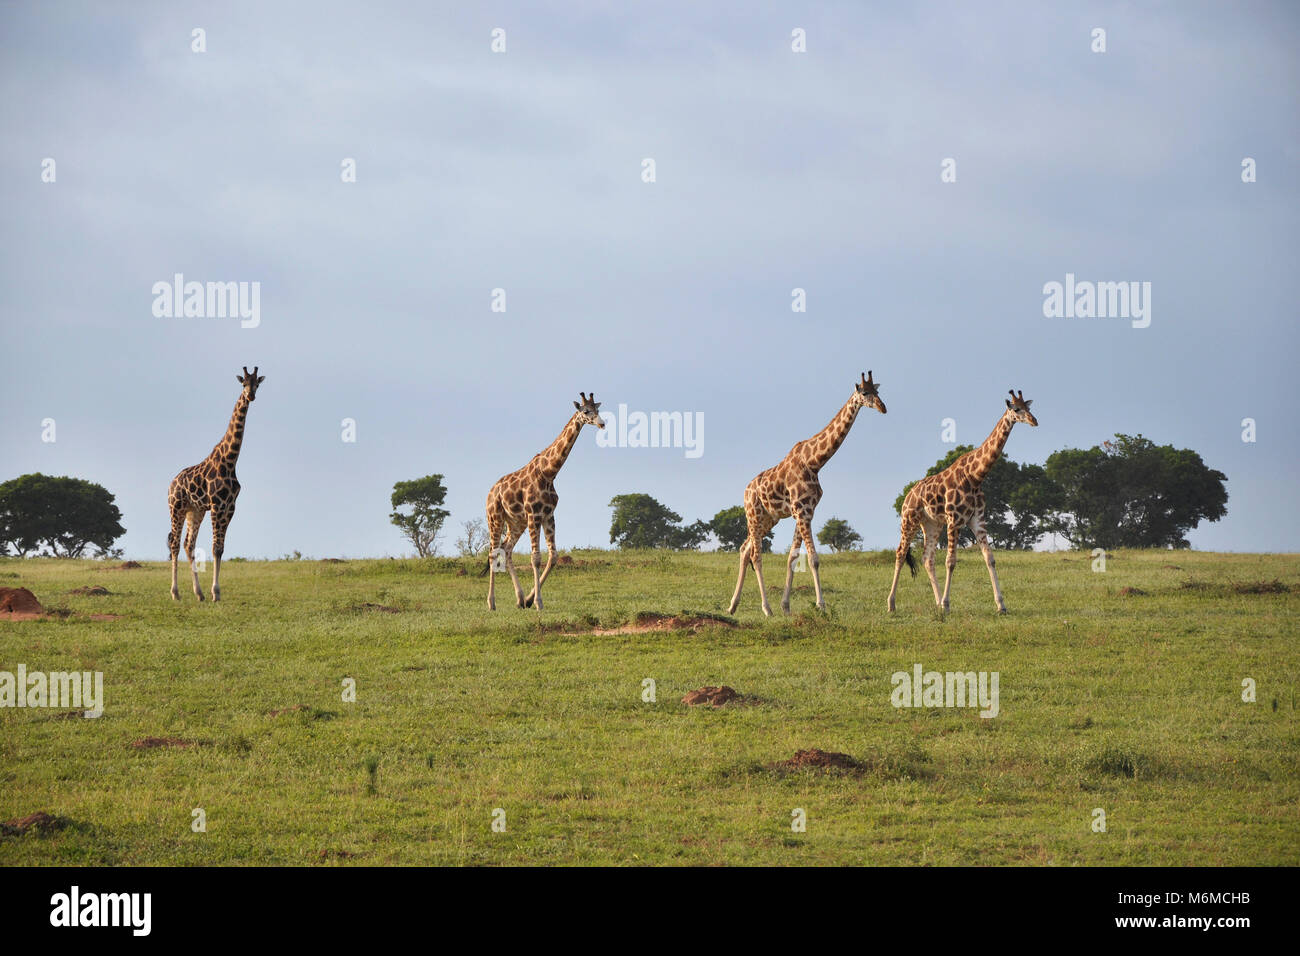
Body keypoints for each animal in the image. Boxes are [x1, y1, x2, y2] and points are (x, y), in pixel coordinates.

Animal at [167, 367, 264, 602]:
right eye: (243, 384)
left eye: (257, 384)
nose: (250, 396)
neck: (230, 460)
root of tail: (171, 483)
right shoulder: (217, 505)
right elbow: (215, 548)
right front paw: (216, 593)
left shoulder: (229, 507)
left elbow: (220, 548)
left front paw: (212, 592)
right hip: (176, 508)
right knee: (175, 544)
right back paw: (175, 593)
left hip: (195, 510)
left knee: (188, 544)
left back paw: (198, 593)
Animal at [484, 392, 605, 611]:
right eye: (585, 411)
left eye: (598, 409)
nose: (602, 423)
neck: (549, 473)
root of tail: (490, 492)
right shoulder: (534, 514)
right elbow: (536, 558)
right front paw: (538, 602)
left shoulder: (548, 515)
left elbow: (553, 556)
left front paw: (530, 598)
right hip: (495, 518)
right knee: (492, 554)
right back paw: (491, 603)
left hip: (516, 522)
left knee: (507, 549)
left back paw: (519, 598)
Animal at [727, 372, 886, 617]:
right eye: (865, 393)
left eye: (878, 392)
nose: (882, 407)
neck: (815, 462)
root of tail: (745, 491)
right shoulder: (802, 511)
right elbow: (813, 559)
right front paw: (821, 605)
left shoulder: (806, 511)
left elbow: (793, 557)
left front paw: (786, 606)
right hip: (753, 515)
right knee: (755, 554)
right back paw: (766, 608)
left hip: (769, 518)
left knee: (744, 549)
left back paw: (733, 605)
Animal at [888, 389, 1038, 615]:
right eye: (1017, 409)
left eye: (1029, 408)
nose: (1034, 420)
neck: (975, 476)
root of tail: (907, 495)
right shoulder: (954, 520)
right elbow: (951, 561)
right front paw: (948, 605)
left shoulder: (977, 520)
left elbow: (990, 558)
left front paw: (1001, 605)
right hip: (909, 520)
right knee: (900, 553)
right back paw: (891, 604)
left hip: (931, 523)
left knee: (927, 559)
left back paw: (936, 602)